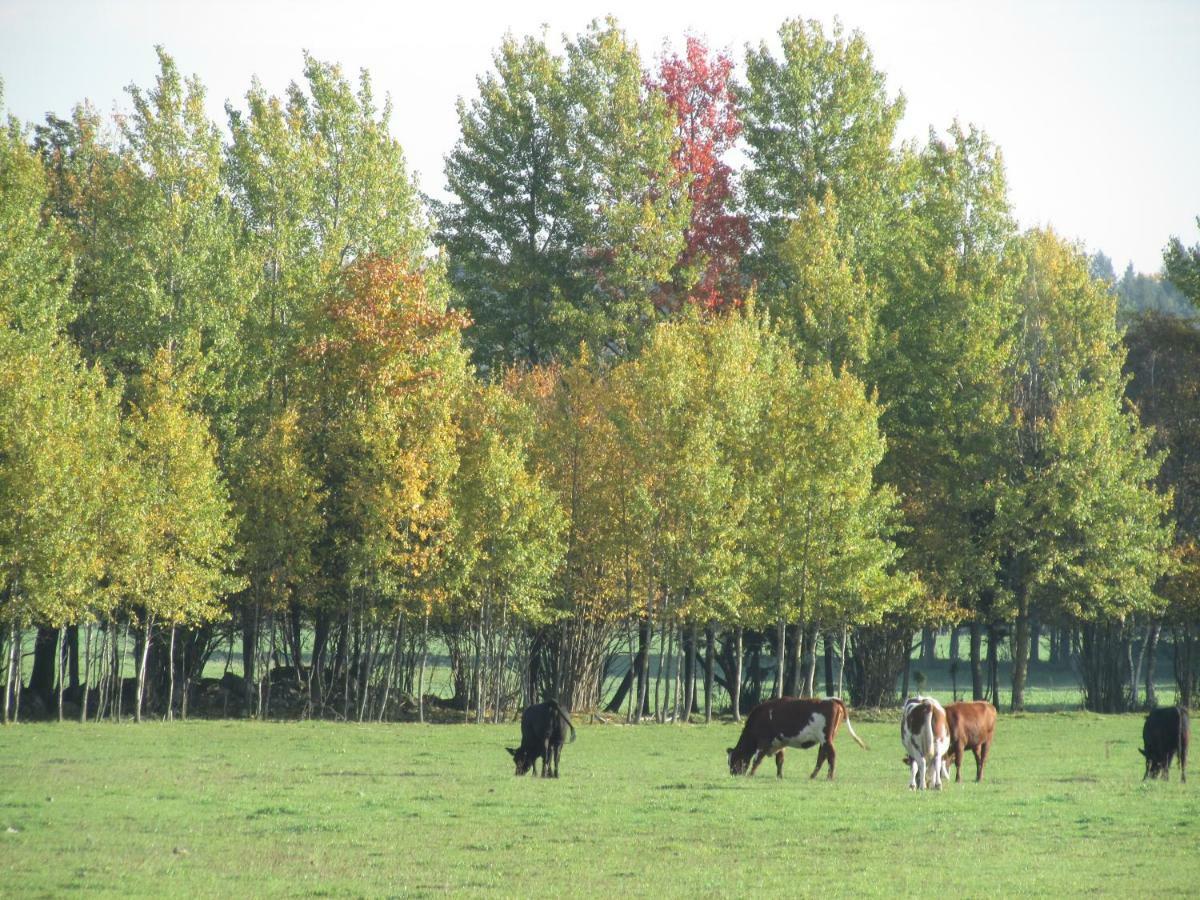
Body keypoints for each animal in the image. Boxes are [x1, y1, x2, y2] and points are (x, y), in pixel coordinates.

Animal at [724, 696, 868, 782]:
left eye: (733, 761)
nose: (733, 774)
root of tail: (831, 699)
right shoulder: (780, 742)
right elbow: (779, 761)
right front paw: (779, 776)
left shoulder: (764, 741)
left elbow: (757, 759)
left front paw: (750, 775)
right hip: (824, 740)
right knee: (822, 756)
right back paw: (812, 776)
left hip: (826, 738)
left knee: (831, 755)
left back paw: (829, 777)